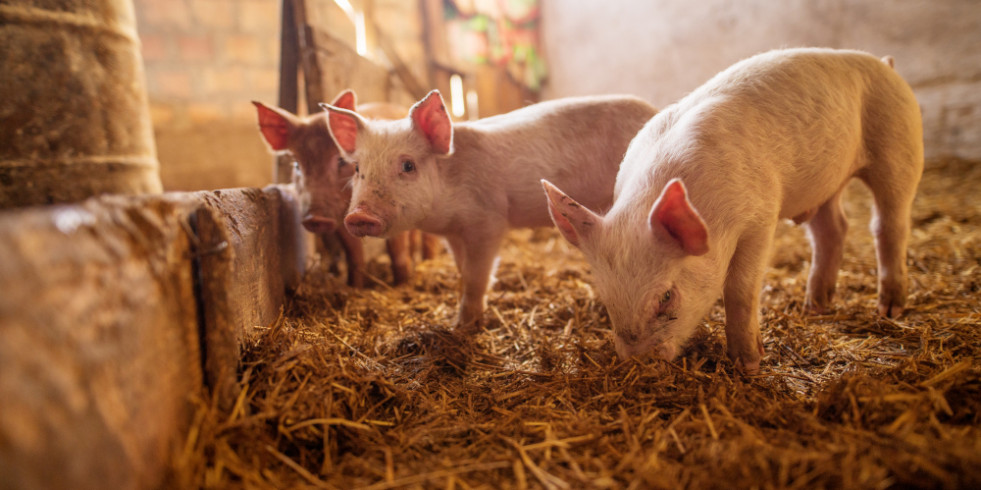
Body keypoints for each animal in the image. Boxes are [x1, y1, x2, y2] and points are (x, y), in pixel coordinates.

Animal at [253, 91, 440, 288]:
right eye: (297, 165)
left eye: (341, 160)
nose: (314, 218)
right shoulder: (342, 219)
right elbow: (353, 253)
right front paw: (354, 286)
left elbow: (397, 251)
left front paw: (401, 285)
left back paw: (428, 262)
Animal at [322, 92, 660, 330]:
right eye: (357, 169)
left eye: (408, 165)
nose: (359, 215)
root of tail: (655, 109)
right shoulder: (453, 234)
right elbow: (462, 270)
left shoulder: (488, 221)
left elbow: (475, 276)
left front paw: (464, 326)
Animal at [544, 47, 920, 374]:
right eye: (606, 296)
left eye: (666, 296)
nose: (638, 362)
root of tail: (885, 64)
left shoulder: (760, 219)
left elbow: (739, 290)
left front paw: (749, 365)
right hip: (824, 183)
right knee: (834, 229)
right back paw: (815, 306)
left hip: (899, 147)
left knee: (890, 224)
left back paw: (890, 309)